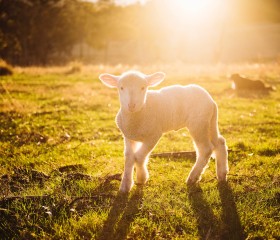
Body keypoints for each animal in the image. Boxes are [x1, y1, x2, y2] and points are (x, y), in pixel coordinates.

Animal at [98, 70, 228, 192]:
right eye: (121, 87)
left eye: (143, 87)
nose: (131, 105)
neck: (141, 111)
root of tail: (211, 101)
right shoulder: (128, 136)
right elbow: (129, 157)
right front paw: (125, 186)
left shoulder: (154, 135)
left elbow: (138, 157)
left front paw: (141, 178)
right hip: (209, 122)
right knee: (219, 142)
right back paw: (222, 175)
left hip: (198, 124)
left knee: (205, 149)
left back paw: (193, 178)